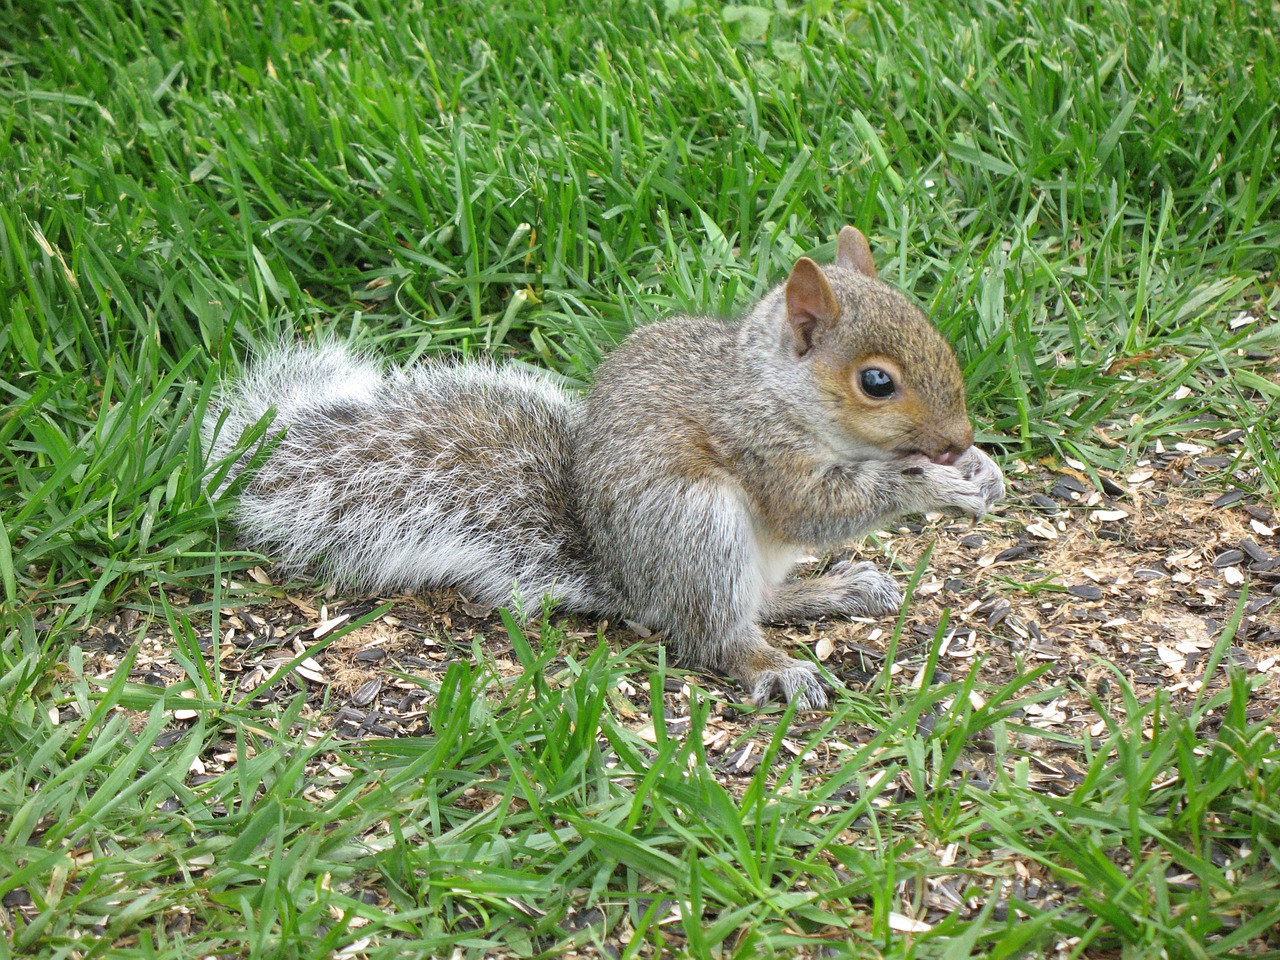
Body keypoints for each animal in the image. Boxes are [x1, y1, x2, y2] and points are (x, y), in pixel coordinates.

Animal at [204, 229, 1003, 711]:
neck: (773, 387)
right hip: (696, 522)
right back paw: (772, 665)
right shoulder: (758, 446)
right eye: (876, 382)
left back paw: (838, 587)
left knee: (759, 601)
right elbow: (814, 507)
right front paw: (934, 484)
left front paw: (982, 469)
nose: (958, 436)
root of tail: (625, 580)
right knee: (711, 632)